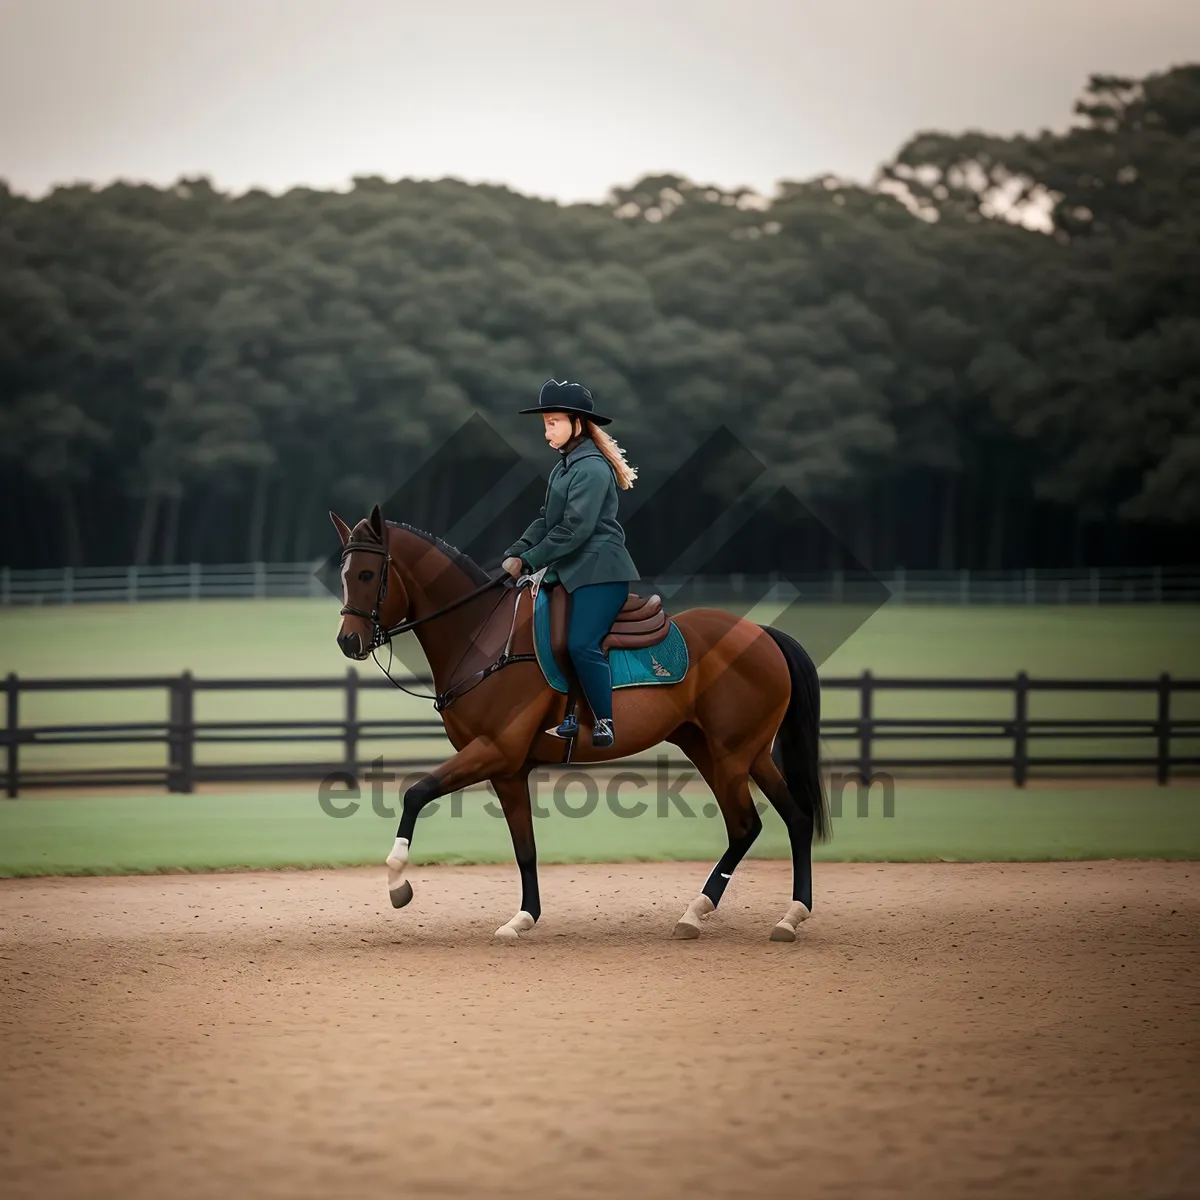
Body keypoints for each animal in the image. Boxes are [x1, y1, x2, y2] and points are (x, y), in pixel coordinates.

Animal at [333, 501, 830, 940]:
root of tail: (762, 633)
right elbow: (525, 849)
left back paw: (746, 914)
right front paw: (523, 918)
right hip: (724, 752)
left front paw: (398, 881)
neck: (482, 635)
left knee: (750, 825)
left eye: (367, 574)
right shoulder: (508, 771)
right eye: (344, 574)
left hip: (732, 757)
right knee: (788, 820)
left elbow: (416, 793)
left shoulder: (494, 751)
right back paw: (772, 914)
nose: (347, 641)